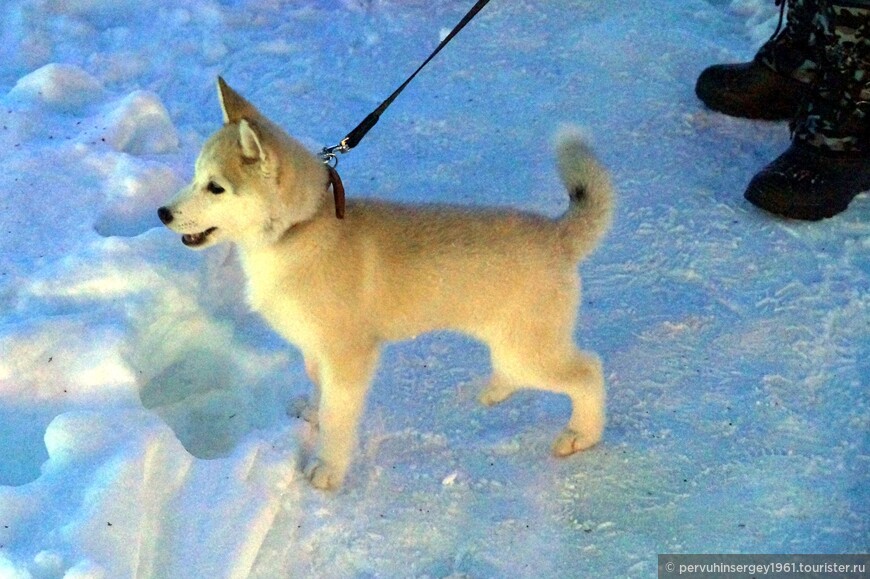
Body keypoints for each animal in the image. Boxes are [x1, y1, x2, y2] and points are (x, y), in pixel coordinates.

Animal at [160, 79, 616, 492]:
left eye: (216, 187)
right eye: (196, 177)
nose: (162, 213)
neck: (300, 230)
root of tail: (557, 233)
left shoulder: (350, 355)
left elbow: (339, 417)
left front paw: (327, 468)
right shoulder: (317, 347)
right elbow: (320, 388)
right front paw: (314, 413)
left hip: (528, 350)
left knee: (588, 371)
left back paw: (581, 434)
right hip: (512, 342)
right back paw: (497, 390)